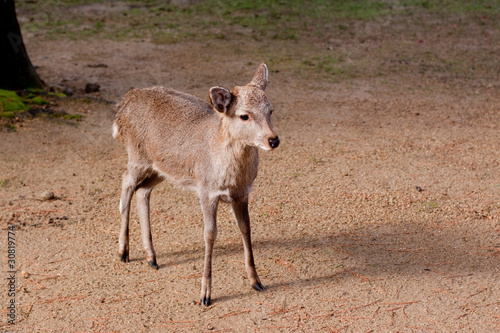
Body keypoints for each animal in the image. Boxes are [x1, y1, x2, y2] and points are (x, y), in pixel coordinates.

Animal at [112, 63, 280, 304]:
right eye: (244, 116)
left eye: (271, 110)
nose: (273, 139)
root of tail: (122, 107)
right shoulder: (206, 191)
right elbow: (209, 234)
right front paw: (205, 295)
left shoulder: (242, 193)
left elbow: (246, 228)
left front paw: (256, 282)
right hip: (137, 156)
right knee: (126, 182)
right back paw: (123, 252)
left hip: (161, 169)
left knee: (143, 191)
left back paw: (151, 257)